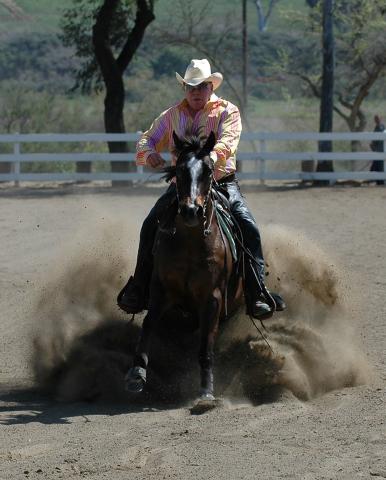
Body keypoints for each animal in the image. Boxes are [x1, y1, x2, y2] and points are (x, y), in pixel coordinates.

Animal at [125, 131, 243, 404]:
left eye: (208, 170)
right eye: (179, 169)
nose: (191, 211)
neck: (191, 244)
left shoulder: (213, 298)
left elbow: (206, 345)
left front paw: (207, 391)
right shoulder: (160, 290)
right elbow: (148, 326)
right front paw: (137, 373)